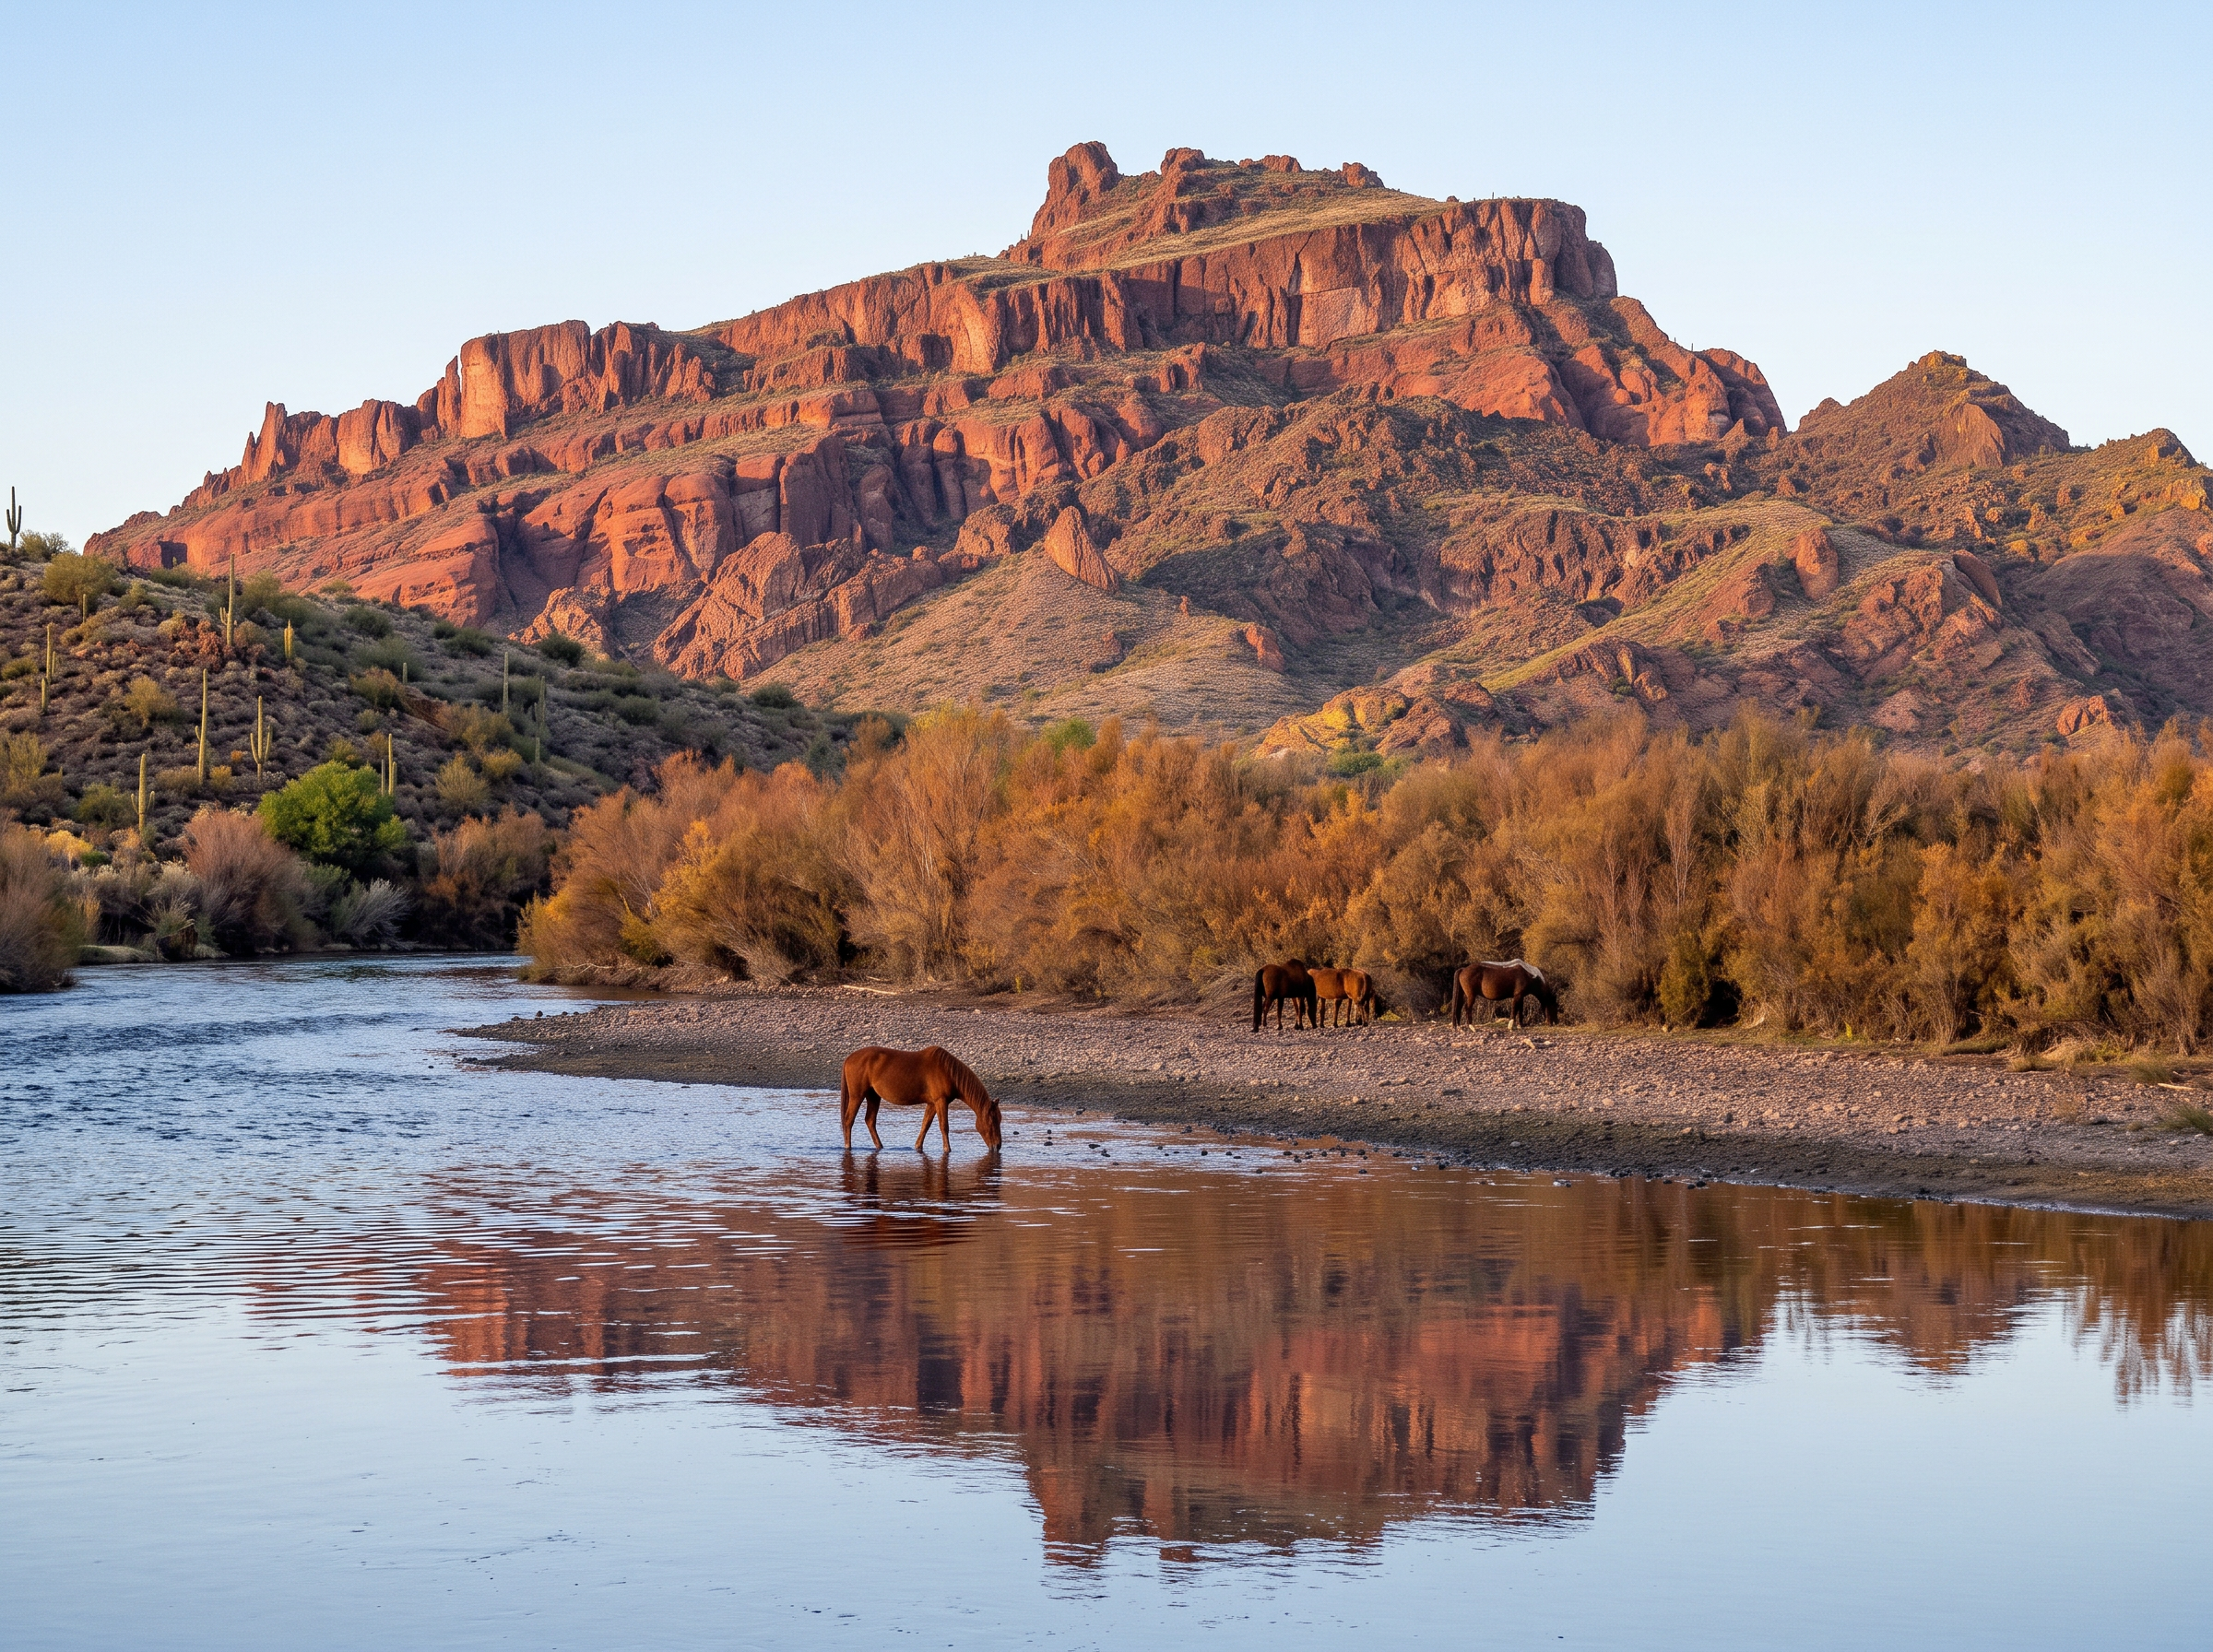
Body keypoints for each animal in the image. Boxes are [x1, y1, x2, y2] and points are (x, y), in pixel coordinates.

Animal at [839, 1044, 1003, 1152]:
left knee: (870, 1121)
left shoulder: (932, 1103)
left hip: (873, 1096)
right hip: (857, 1096)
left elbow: (925, 1125)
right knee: (848, 1120)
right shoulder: (940, 1101)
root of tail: (849, 1058)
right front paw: (947, 1149)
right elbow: (944, 1126)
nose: (998, 1146)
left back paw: (880, 1146)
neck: (948, 1072)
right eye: (992, 1120)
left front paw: (918, 1147)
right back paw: (848, 1147)